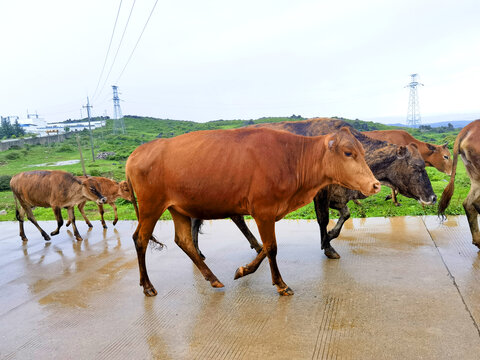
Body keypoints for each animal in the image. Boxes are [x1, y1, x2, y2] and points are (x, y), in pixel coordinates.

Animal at [125, 125, 380, 296]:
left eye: (362, 152)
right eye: (348, 152)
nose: (375, 185)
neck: (291, 158)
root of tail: (137, 152)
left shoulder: (267, 213)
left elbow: (265, 247)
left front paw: (243, 270)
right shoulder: (263, 211)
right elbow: (271, 247)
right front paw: (281, 284)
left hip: (177, 208)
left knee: (184, 241)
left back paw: (213, 279)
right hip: (151, 206)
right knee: (140, 239)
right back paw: (148, 286)